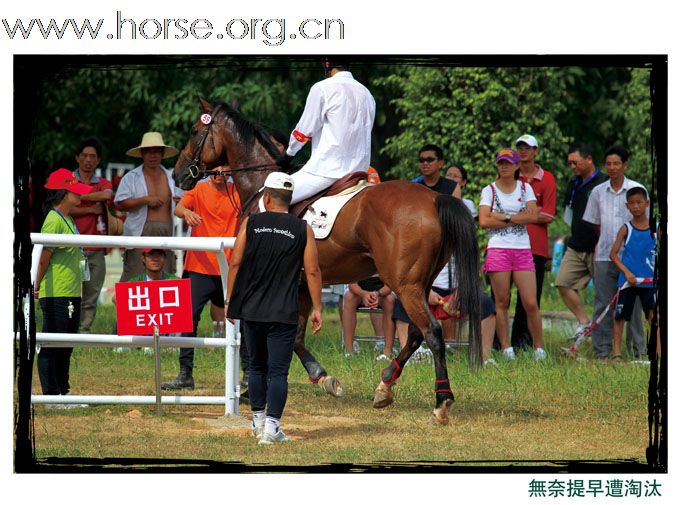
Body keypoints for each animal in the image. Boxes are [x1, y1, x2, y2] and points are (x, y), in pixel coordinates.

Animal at [175, 97, 484, 422]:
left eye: (195, 131)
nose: (179, 174)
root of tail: (435, 198)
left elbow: (272, 336)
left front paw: (292, 382)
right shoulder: (300, 282)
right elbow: (296, 336)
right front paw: (319, 378)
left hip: (405, 286)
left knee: (432, 333)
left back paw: (441, 401)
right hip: (420, 285)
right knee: (415, 333)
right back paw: (385, 385)